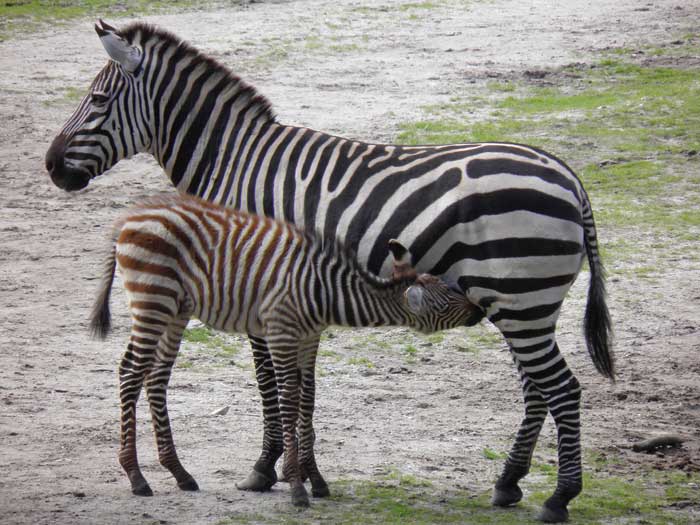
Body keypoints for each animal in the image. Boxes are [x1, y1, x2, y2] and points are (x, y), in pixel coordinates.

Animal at [90, 194, 476, 506]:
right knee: (130, 372)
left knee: (155, 377)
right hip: (152, 300)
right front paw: (295, 485)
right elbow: (288, 400)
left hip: (174, 310)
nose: (479, 309)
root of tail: (129, 219)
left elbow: (308, 399)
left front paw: (315, 478)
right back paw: (136, 477)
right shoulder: (281, 333)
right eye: (447, 298)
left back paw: (179, 473)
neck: (324, 291)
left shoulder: (309, 338)